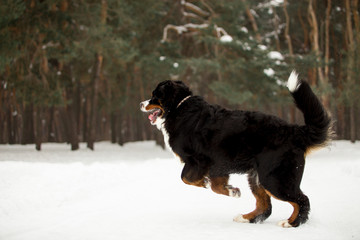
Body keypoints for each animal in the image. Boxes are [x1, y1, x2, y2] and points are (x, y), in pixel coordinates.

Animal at [140, 71, 332, 227]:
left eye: (155, 96)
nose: (141, 104)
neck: (179, 108)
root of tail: (294, 131)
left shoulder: (198, 160)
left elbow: (186, 178)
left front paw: (205, 183)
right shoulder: (218, 166)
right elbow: (217, 186)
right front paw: (232, 191)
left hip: (275, 178)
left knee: (302, 200)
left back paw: (291, 222)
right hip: (257, 177)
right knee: (265, 206)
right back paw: (246, 218)